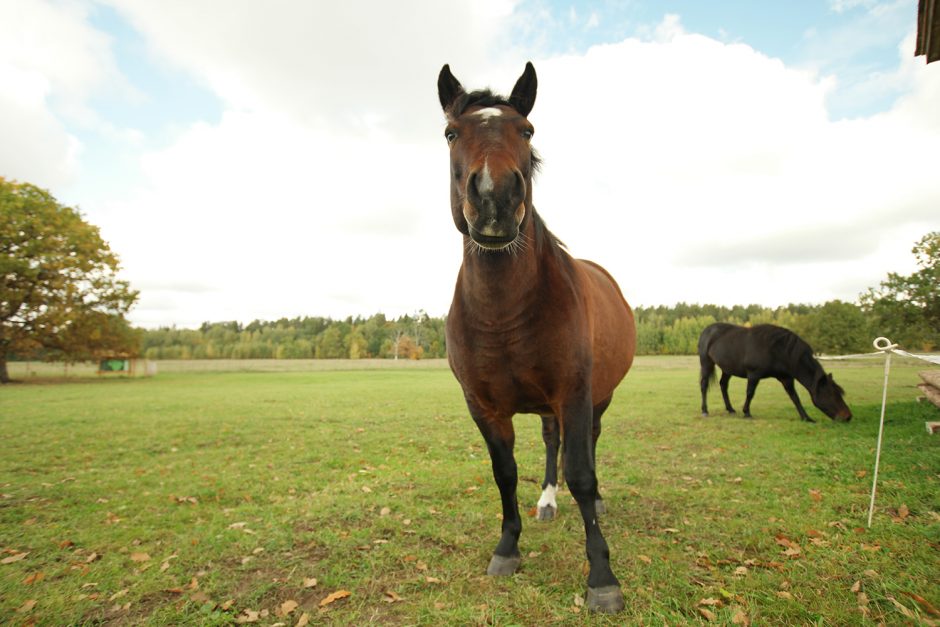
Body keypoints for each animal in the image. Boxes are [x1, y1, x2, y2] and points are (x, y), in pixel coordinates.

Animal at [436, 60, 636, 612]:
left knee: (585, 443)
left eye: (526, 131)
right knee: (551, 442)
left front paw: (602, 577)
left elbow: (583, 473)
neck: (504, 315)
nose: (494, 199)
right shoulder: (482, 405)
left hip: (597, 397)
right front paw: (507, 548)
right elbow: (504, 473)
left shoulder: (575, 392)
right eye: (451, 133)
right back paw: (547, 500)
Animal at [696, 324, 852, 422]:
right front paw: (747, 413)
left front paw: (806, 417)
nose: (848, 416)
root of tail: (707, 330)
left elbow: (795, 397)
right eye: (830, 394)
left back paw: (730, 409)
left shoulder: (786, 378)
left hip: (727, 369)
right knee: (704, 385)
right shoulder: (753, 375)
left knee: (723, 385)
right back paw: (704, 410)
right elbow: (750, 393)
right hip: (706, 363)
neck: (778, 350)